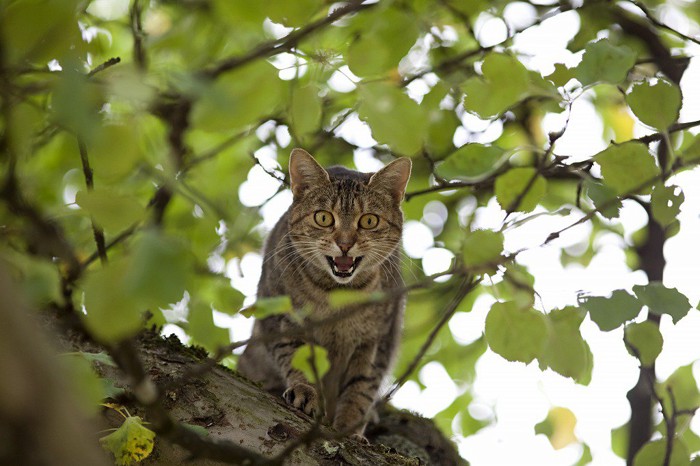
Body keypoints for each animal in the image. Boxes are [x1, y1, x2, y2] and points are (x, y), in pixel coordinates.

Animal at [238, 148, 410, 440]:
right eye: (323, 217)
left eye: (369, 220)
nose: (345, 244)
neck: (337, 295)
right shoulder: (283, 321)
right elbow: (298, 359)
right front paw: (305, 392)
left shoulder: (377, 341)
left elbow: (360, 389)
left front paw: (349, 428)